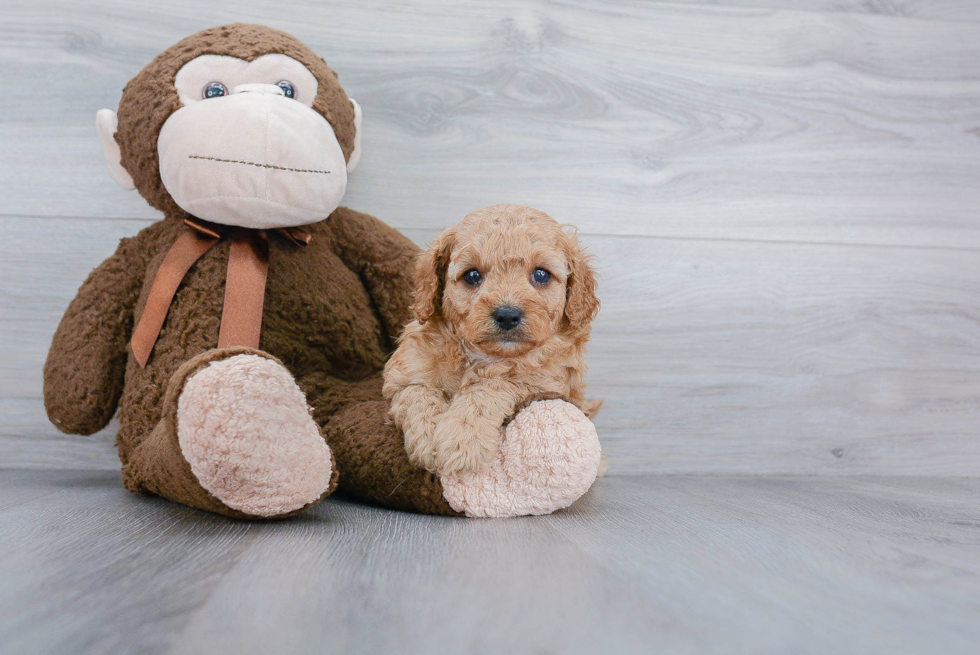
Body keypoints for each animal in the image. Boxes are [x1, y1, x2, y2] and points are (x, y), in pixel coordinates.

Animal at [380, 205, 596, 476]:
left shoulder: (546, 382)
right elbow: (417, 394)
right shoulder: (404, 375)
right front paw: (428, 442)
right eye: (472, 275)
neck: (483, 356)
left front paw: (462, 439)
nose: (507, 314)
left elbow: (493, 386)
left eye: (541, 274)